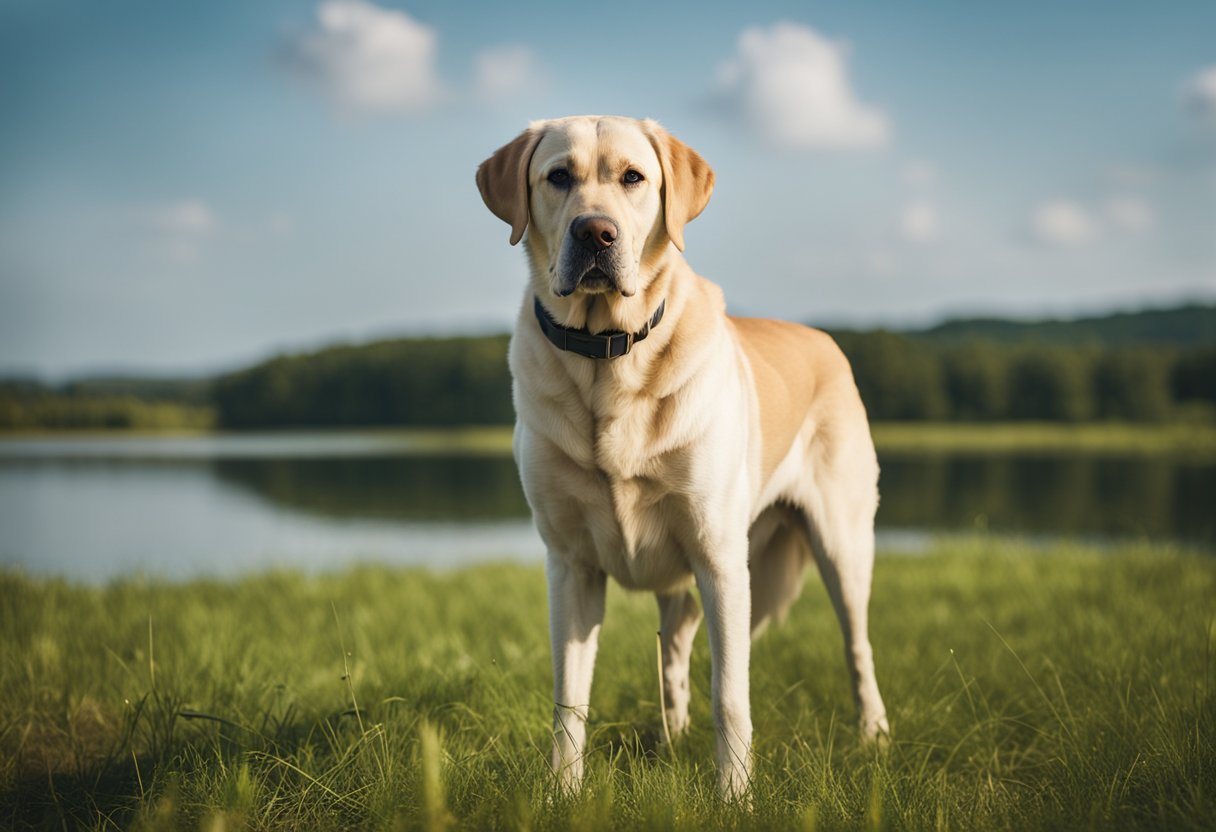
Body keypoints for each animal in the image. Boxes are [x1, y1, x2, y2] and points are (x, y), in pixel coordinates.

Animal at [479, 113, 890, 797]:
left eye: (633, 177)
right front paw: (563, 792)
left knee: (857, 645)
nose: (595, 231)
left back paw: (874, 734)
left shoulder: (719, 557)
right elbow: (570, 697)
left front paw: (735, 796)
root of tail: (825, 339)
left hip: (841, 543)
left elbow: (731, 693)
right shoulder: (570, 565)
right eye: (558, 176)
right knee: (673, 650)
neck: (608, 357)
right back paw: (670, 738)